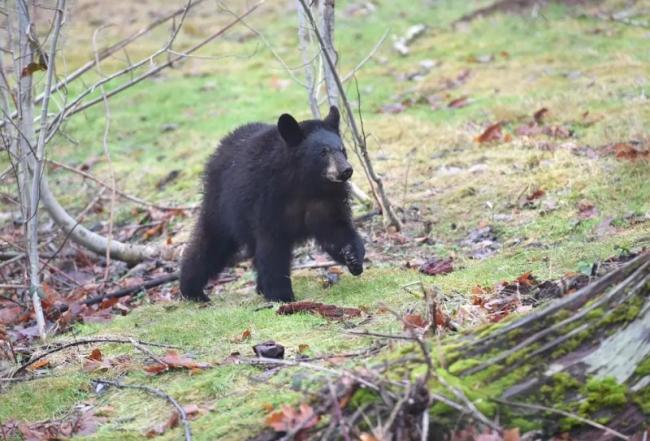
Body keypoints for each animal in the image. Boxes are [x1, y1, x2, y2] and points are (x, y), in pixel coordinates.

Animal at [180, 106, 365, 302]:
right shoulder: (268, 200)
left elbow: (335, 228)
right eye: (323, 152)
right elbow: (272, 246)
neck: (305, 183)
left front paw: (353, 258)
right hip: (222, 204)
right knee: (212, 242)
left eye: (342, 149)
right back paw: (191, 290)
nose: (346, 170)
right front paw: (281, 295)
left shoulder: (326, 200)